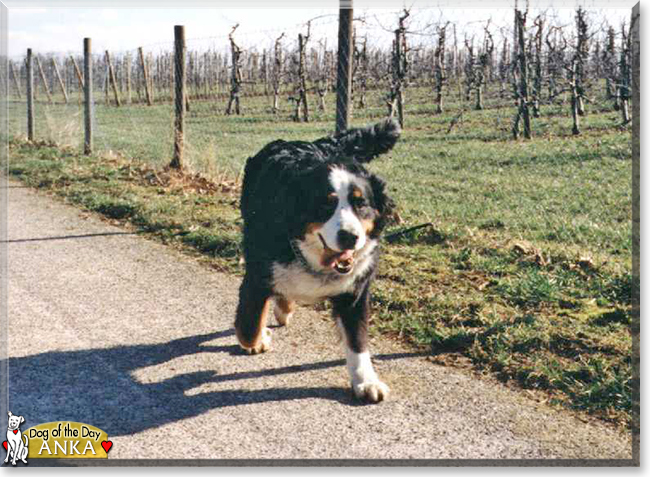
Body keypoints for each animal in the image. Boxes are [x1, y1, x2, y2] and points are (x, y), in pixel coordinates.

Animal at [235, 119, 398, 402]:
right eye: (326, 205)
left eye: (361, 203)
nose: (349, 236)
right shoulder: (257, 277)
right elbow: (249, 327)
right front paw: (260, 338)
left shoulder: (354, 291)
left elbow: (357, 340)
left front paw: (365, 381)